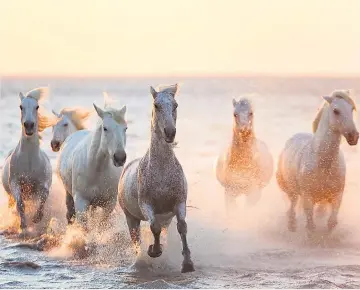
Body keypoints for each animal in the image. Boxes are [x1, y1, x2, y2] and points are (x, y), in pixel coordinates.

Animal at [1, 86, 54, 236]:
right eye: (21, 106)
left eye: (37, 107)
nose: (29, 125)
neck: (30, 161)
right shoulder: (15, 184)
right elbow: (20, 204)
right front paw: (23, 226)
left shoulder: (42, 184)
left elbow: (43, 198)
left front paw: (37, 218)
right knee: (13, 204)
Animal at [56, 94, 128, 225]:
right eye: (105, 128)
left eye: (125, 128)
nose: (119, 158)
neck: (97, 169)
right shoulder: (81, 201)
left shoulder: (109, 204)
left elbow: (100, 224)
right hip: (68, 194)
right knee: (69, 214)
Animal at [118, 83, 194, 272]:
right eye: (156, 105)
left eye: (175, 105)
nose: (170, 132)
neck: (162, 171)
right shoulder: (146, 204)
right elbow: (154, 227)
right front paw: (154, 250)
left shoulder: (179, 202)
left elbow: (182, 226)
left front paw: (187, 263)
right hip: (131, 218)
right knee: (136, 239)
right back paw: (141, 260)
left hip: (166, 218)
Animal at [278, 89, 358, 232]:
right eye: (336, 110)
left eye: (352, 109)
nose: (353, 137)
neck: (323, 163)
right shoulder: (308, 198)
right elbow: (311, 226)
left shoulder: (336, 197)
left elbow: (331, 222)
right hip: (292, 191)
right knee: (292, 206)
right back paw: (291, 225)